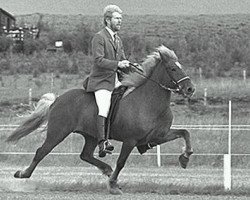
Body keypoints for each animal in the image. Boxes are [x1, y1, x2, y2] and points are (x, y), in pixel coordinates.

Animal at [6, 45, 195, 194]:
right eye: (173, 69)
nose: (190, 89)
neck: (150, 102)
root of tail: (58, 99)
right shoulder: (130, 140)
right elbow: (121, 162)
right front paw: (113, 185)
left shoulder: (157, 136)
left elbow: (185, 133)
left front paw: (185, 157)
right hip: (58, 132)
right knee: (42, 152)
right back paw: (22, 174)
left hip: (91, 136)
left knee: (85, 155)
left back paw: (106, 169)